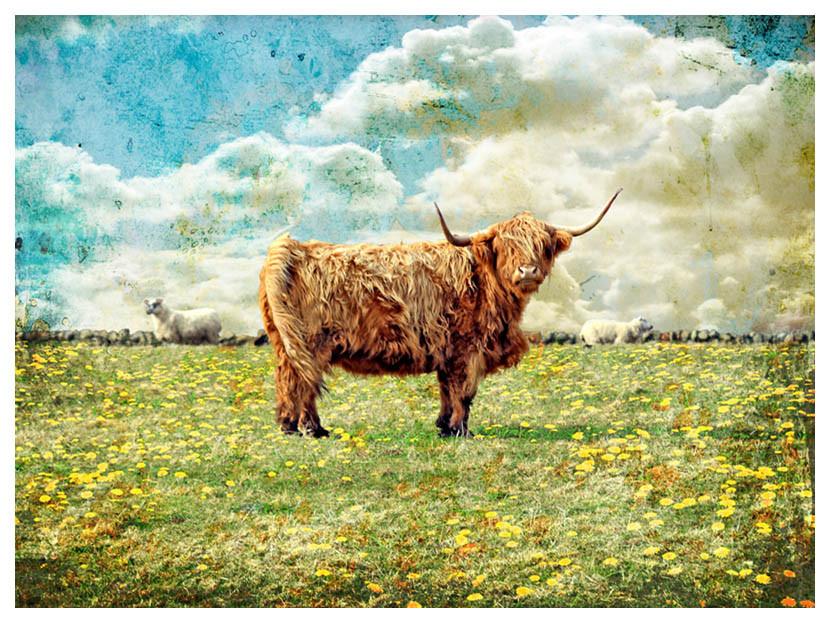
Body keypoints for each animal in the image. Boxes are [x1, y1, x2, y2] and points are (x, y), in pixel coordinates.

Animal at [258, 189, 622, 438]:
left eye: (542, 245)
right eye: (505, 246)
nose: (528, 271)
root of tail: (290, 247)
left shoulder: (448, 349)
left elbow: (448, 388)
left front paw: (444, 426)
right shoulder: (467, 347)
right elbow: (464, 391)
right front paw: (461, 430)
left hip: (285, 342)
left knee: (287, 379)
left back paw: (290, 426)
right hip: (311, 342)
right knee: (305, 382)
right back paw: (312, 429)